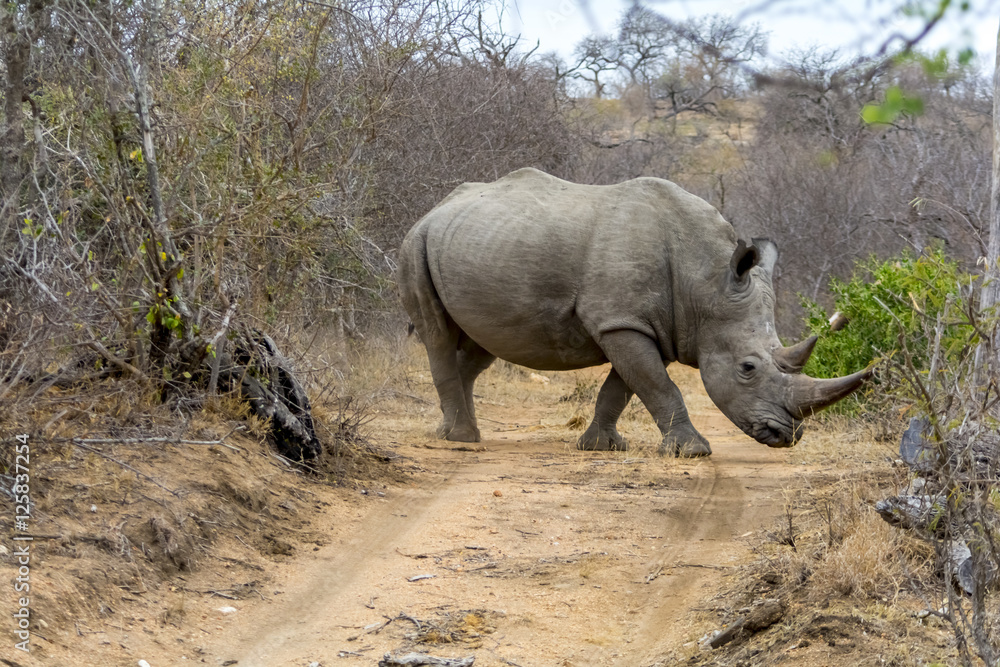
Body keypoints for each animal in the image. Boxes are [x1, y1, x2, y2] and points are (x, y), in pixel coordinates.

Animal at [397, 168, 869, 456]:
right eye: (747, 368)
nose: (787, 436)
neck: (705, 281)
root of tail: (434, 209)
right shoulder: (622, 322)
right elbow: (658, 386)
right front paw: (693, 452)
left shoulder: (651, 324)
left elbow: (623, 387)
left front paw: (600, 447)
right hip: (414, 243)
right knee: (438, 335)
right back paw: (462, 439)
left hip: (475, 245)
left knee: (483, 344)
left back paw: (449, 432)